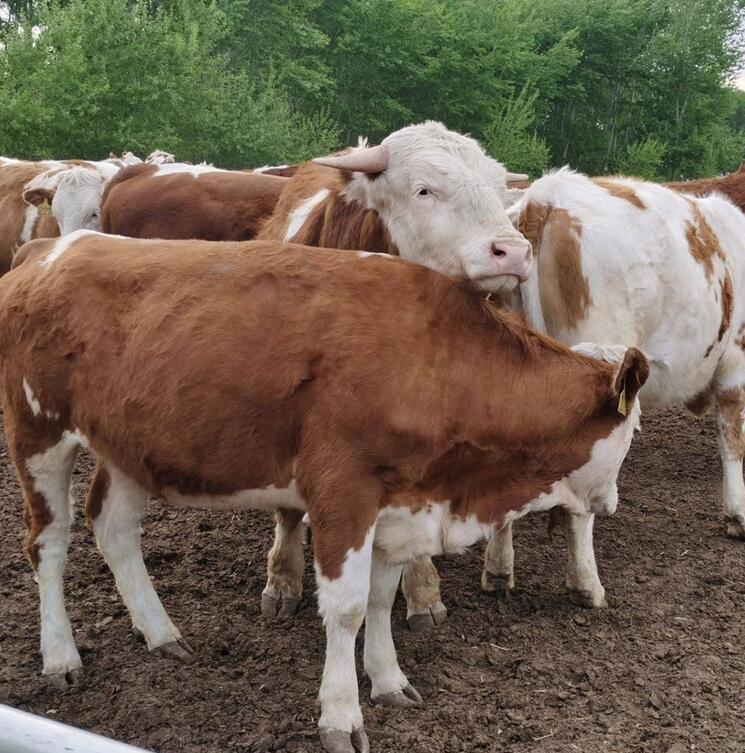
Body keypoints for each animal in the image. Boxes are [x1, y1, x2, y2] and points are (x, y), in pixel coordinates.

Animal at [0, 231, 644, 752]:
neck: (436, 359)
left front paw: (389, 681)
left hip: (129, 444)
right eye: (634, 427)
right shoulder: (343, 491)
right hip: (39, 432)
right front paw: (341, 716)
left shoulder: (401, 502)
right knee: (48, 544)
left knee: (114, 529)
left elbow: (381, 600)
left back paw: (162, 635)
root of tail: (52, 248)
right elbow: (347, 608)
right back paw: (60, 656)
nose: (612, 502)